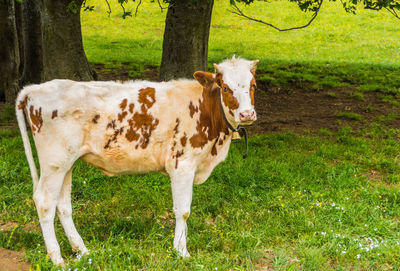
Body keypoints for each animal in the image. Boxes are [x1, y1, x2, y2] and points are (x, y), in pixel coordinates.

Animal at [15, 56, 258, 266]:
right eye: (225, 88)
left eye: (253, 85)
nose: (247, 114)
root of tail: (35, 89)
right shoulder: (182, 165)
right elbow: (183, 210)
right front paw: (181, 251)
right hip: (54, 162)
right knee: (45, 202)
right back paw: (57, 258)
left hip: (67, 163)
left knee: (63, 205)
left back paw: (81, 250)